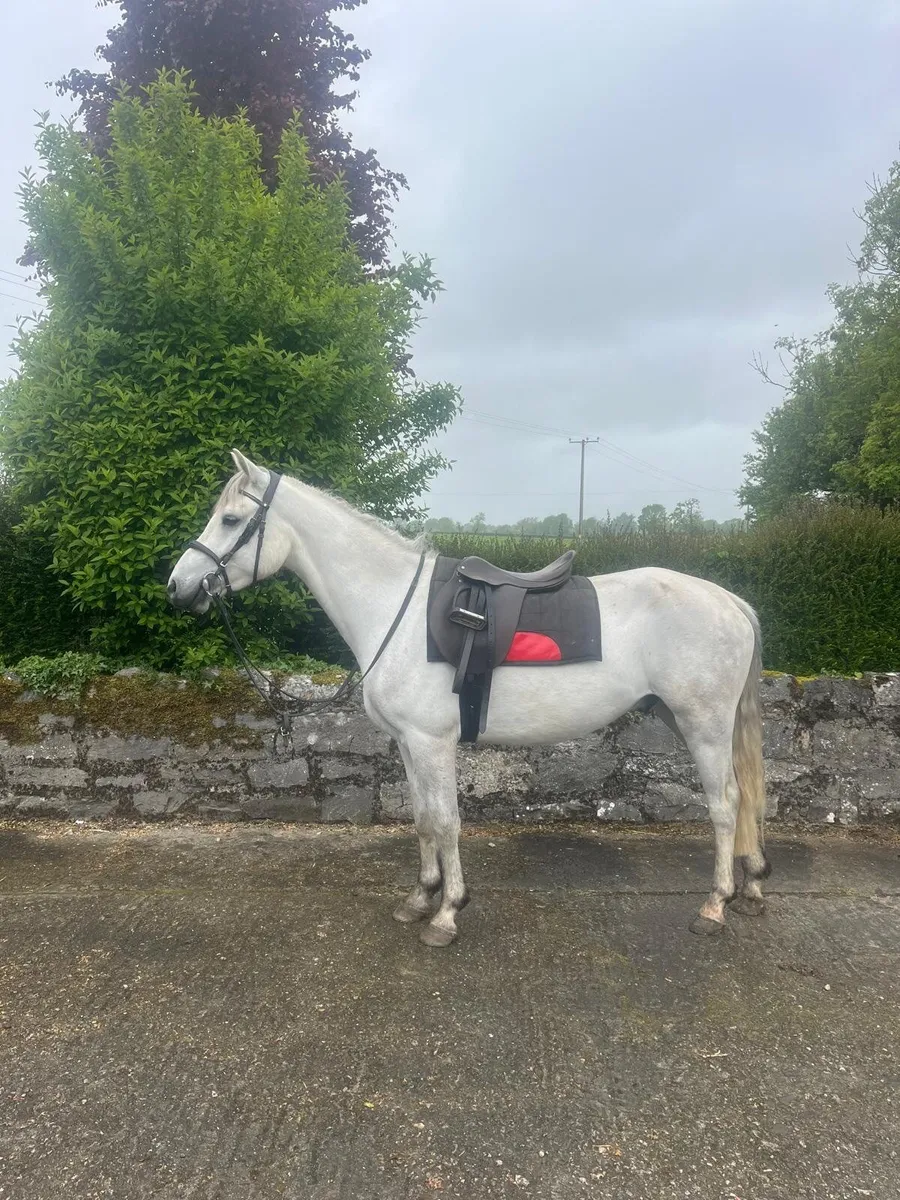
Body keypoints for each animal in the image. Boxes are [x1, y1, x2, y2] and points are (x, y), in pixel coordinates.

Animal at [167, 450, 770, 948]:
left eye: (230, 520)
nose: (178, 586)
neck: (395, 608)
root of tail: (730, 602)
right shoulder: (408, 744)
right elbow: (422, 818)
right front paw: (421, 897)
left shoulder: (433, 742)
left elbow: (448, 821)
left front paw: (447, 914)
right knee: (742, 802)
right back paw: (751, 889)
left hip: (703, 724)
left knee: (725, 804)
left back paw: (715, 906)